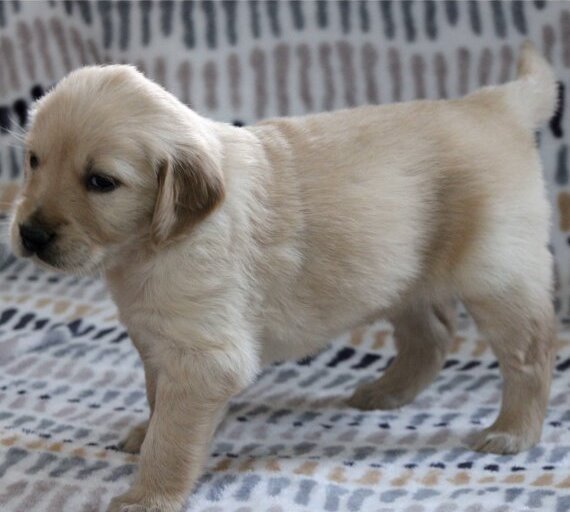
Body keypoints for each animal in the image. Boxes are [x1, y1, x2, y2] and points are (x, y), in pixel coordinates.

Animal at [10, 42, 557, 512]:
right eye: (33, 160)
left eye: (101, 182)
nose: (30, 234)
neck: (152, 246)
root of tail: (492, 103)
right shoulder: (158, 342)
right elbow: (157, 400)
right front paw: (147, 433)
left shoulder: (204, 356)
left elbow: (173, 434)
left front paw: (148, 494)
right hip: (401, 273)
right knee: (434, 334)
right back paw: (386, 392)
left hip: (497, 274)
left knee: (531, 353)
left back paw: (513, 431)